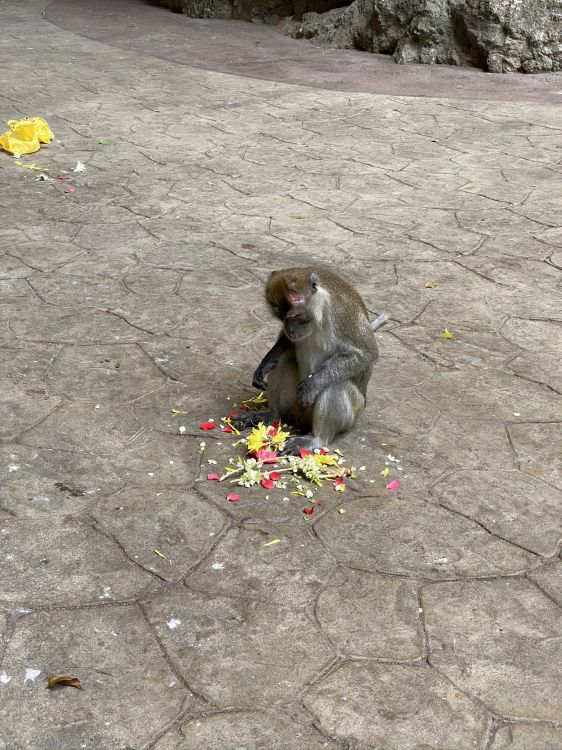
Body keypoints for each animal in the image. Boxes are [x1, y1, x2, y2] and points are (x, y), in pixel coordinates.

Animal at [236, 267, 387, 455]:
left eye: (296, 316)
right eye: (282, 318)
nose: (290, 329)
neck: (320, 310)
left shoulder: (342, 314)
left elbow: (366, 354)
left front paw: (311, 385)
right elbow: (287, 343)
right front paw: (266, 363)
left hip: (352, 413)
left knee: (336, 383)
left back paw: (316, 438)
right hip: (294, 406)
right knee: (284, 362)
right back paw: (273, 413)